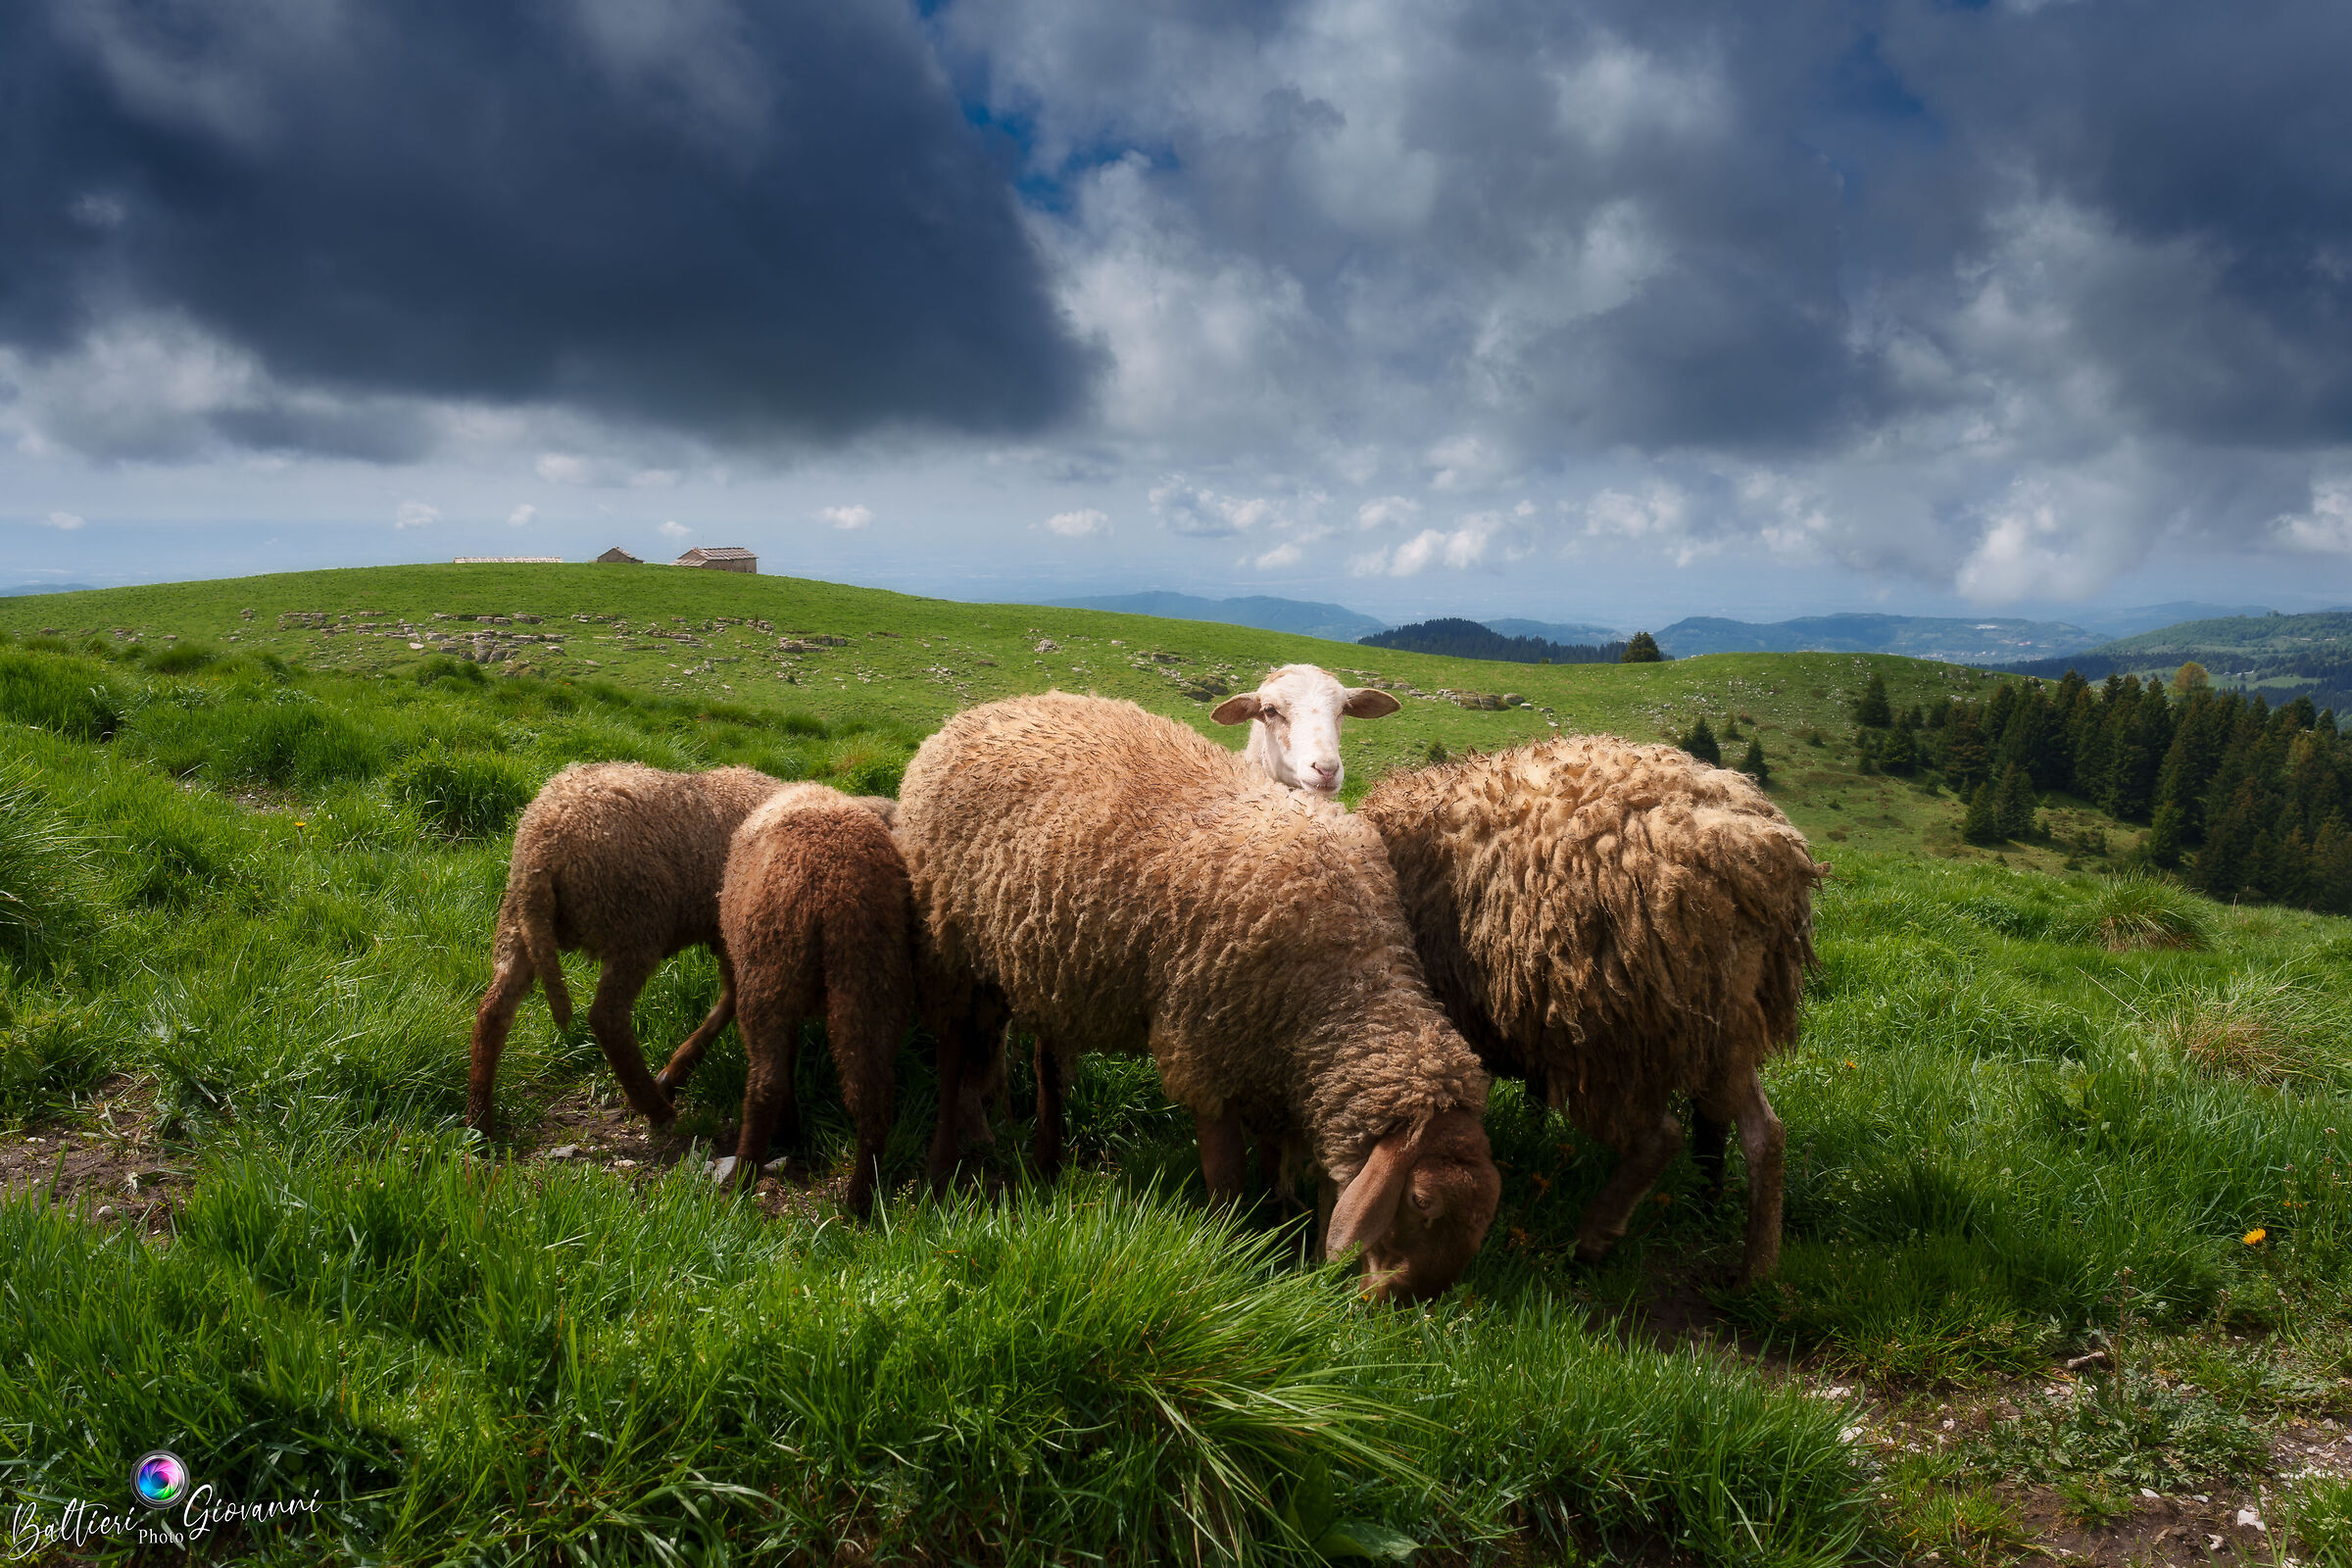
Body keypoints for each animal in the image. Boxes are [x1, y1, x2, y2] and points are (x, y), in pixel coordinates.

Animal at [465, 762, 783, 1132]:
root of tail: (545, 844)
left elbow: (730, 999)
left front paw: (678, 1070)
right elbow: (733, 999)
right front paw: (676, 1072)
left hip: (518, 924)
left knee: (493, 1011)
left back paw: (479, 1120)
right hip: (636, 923)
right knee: (607, 1018)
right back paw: (655, 1107)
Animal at [709, 784, 912, 1216]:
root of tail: (830, 888)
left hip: (768, 976)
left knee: (765, 1084)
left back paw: (741, 1180)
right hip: (868, 979)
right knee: (872, 1095)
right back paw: (859, 1201)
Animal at [895, 691, 1500, 1303]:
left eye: (1483, 1222)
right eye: (1421, 1202)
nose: (1396, 1307)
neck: (1348, 972)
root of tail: (981, 711)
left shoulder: (1275, 1063)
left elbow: (1278, 1161)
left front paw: (1287, 1228)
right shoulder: (1202, 1050)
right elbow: (1227, 1176)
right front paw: (1231, 1249)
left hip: (1047, 963)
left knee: (1048, 1064)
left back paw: (1048, 1162)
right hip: (949, 941)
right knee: (953, 1054)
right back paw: (942, 1169)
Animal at [1358, 736, 1826, 1285]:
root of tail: (1750, 859)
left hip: (1608, 1032)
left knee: (1661, 1137)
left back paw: (1595, 1238)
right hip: (1721, 1024)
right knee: (1761, 1133)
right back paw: (1754, 1267)